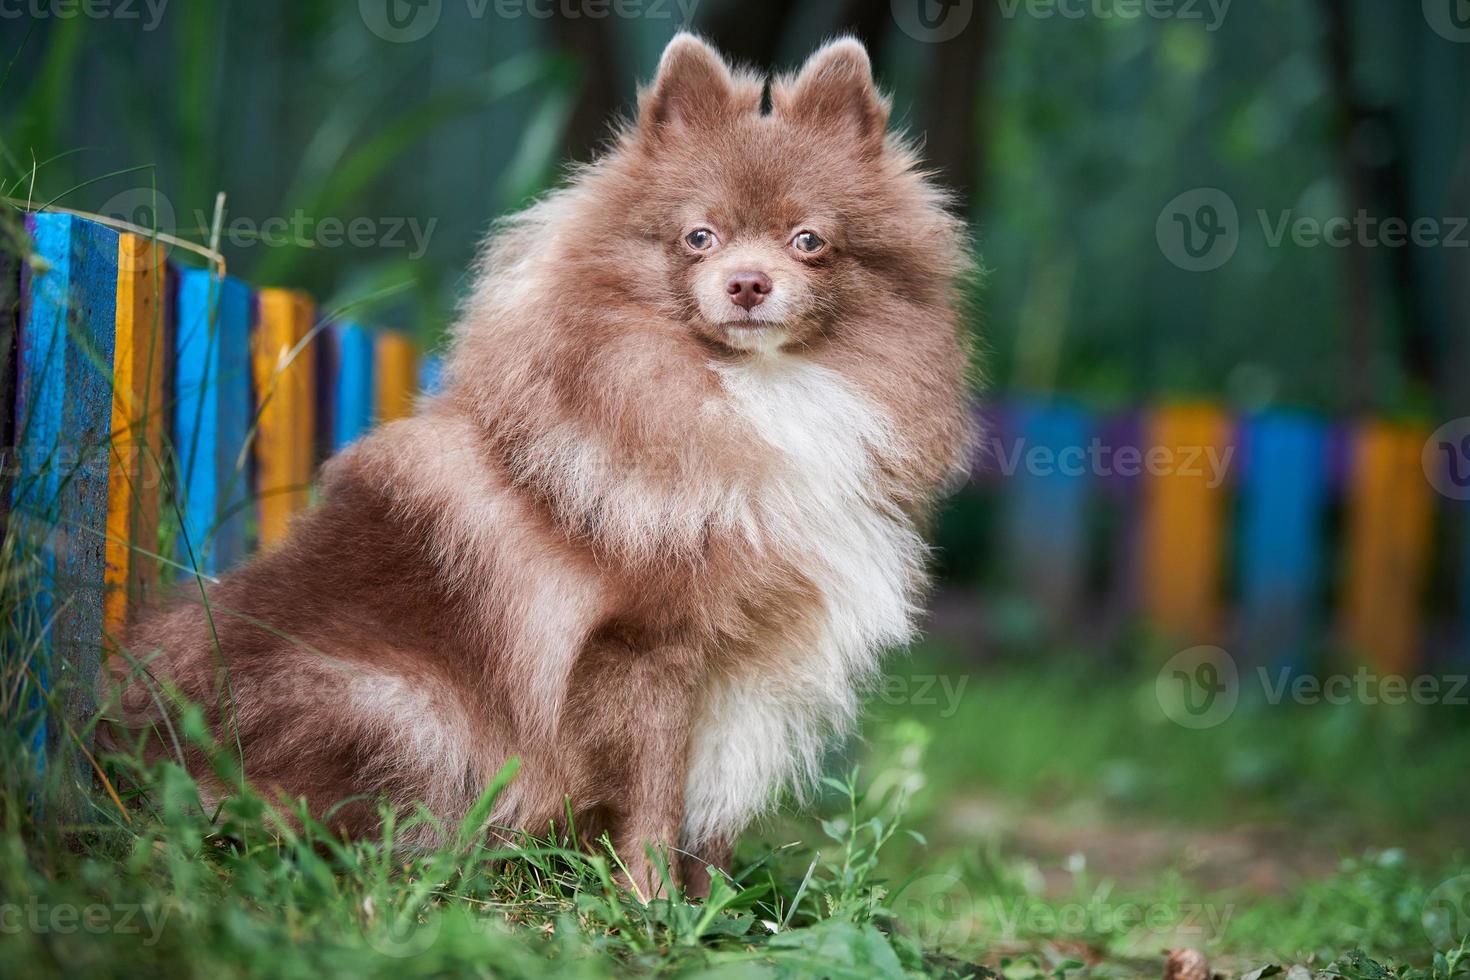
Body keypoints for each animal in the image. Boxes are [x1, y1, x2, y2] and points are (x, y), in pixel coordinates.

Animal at [106, 34, 976, 899]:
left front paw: (716, 907)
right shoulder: (647, 647)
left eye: (808, 241)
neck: (751, 394)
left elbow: (714, 809)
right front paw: (650, 904)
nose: (748, 283)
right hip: (401, 709)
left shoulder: (751, 666)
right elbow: (654, 795)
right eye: (698, 237)